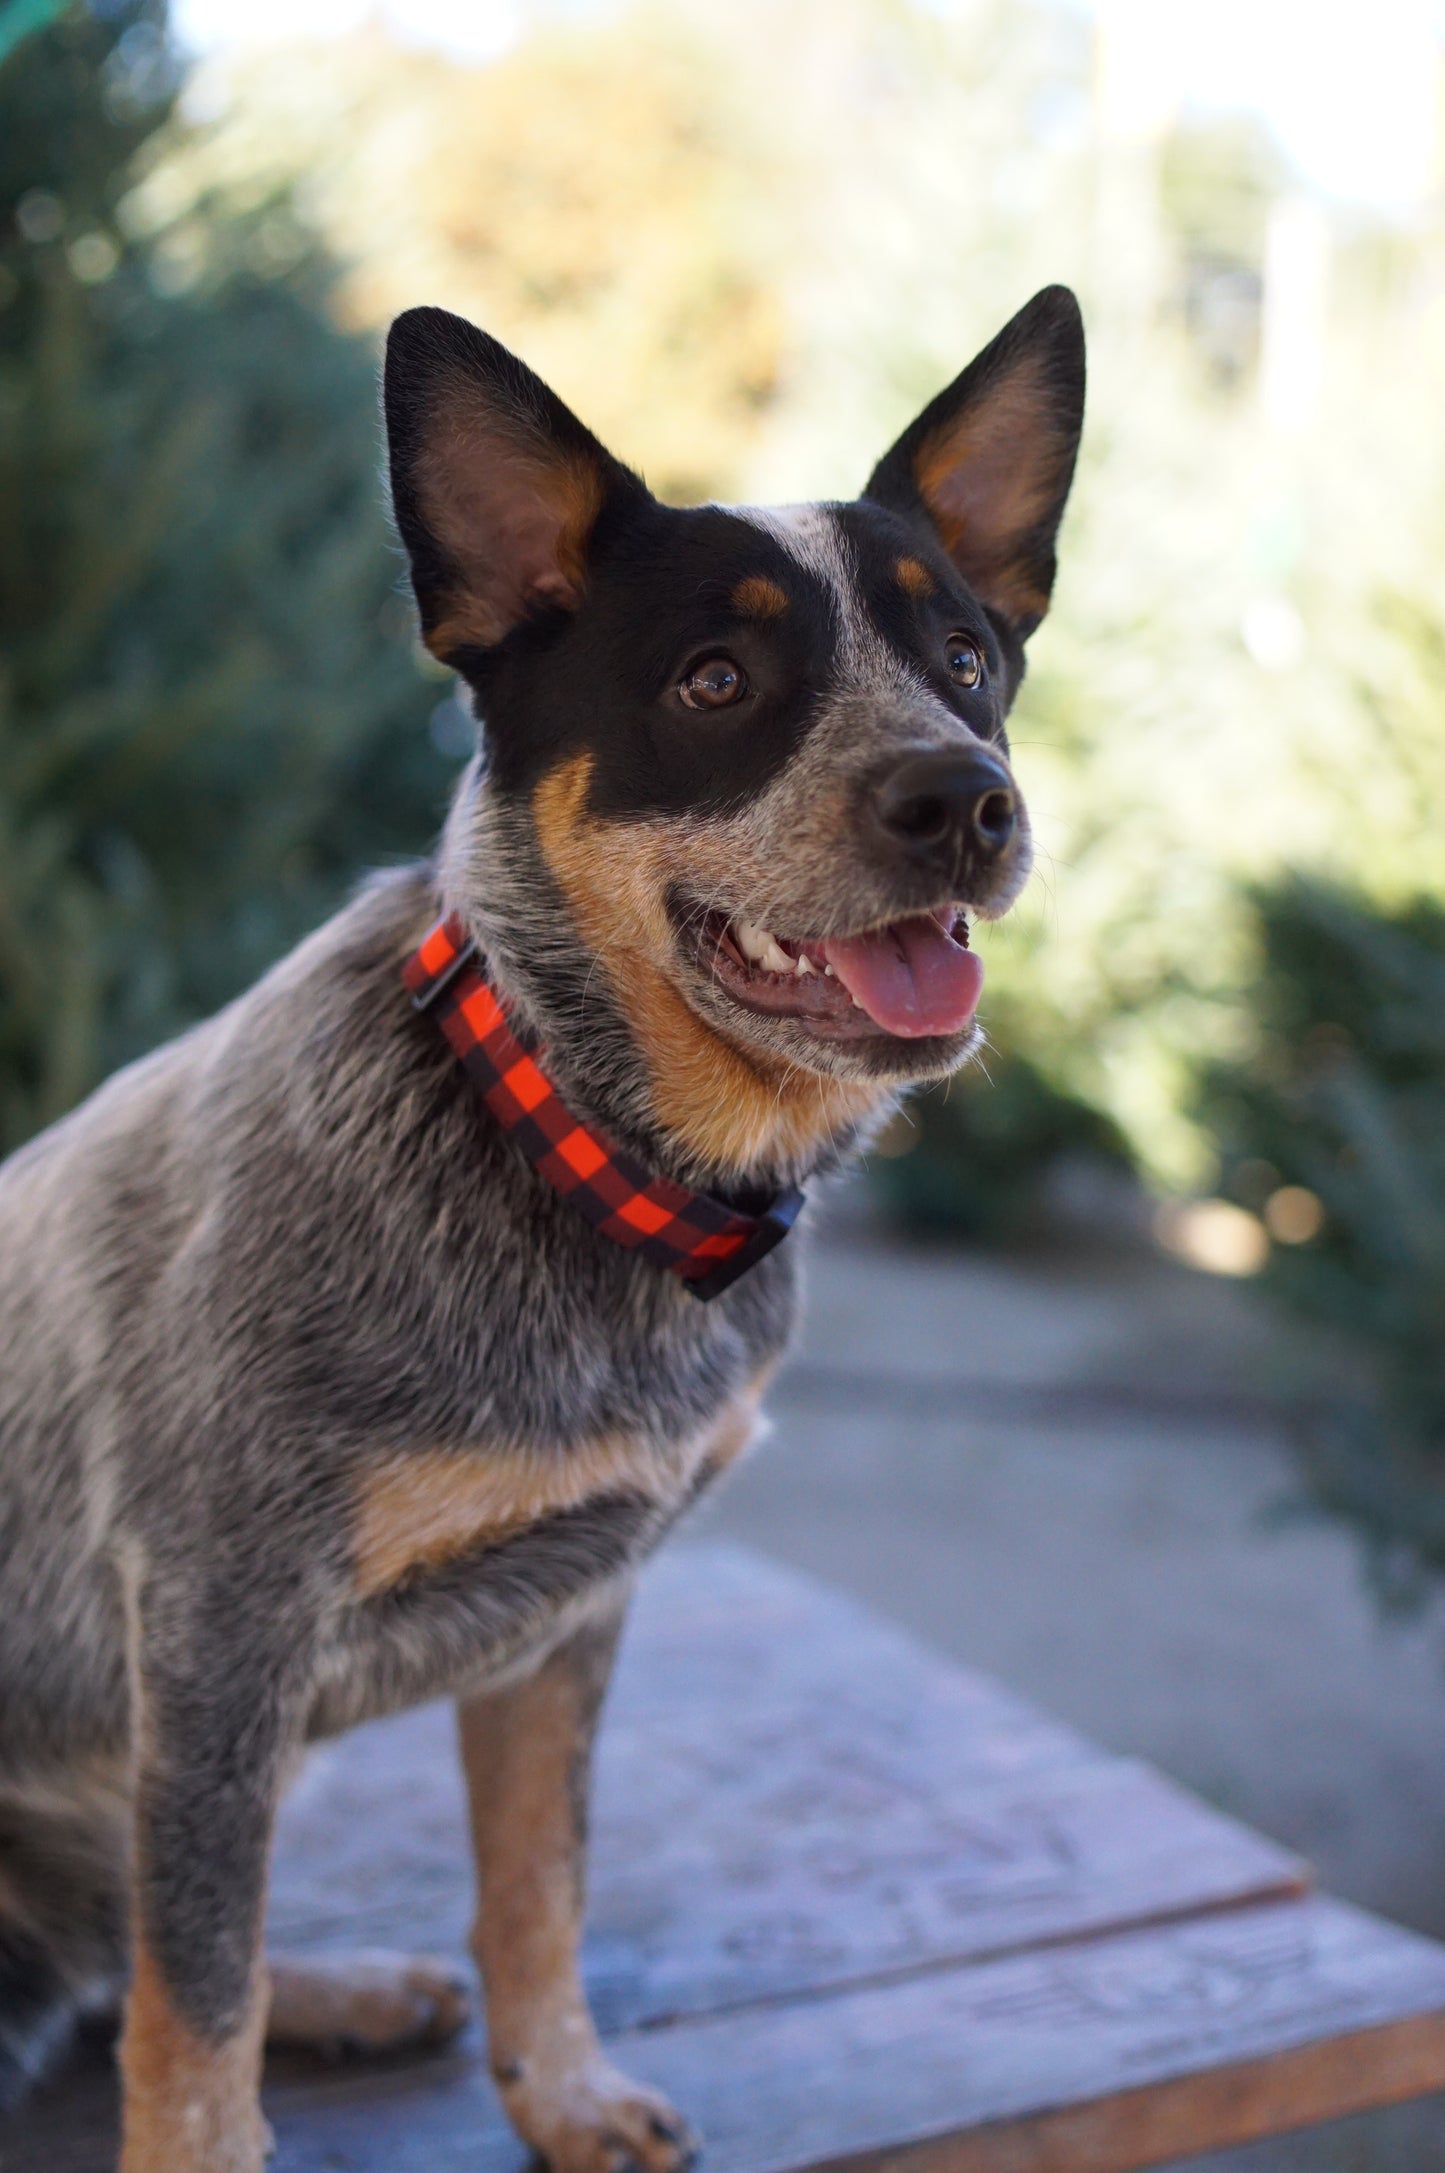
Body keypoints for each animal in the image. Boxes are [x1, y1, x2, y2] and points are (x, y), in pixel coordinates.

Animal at [0, 289, 1077, 2173]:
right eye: (714, 682)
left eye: (963, 659)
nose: (965, 800)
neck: (576, 1158)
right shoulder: (215, 1628)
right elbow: (195, 2008)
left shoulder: (568, 1610)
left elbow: (535, 1887)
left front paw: (561, 2093)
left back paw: (346, 1987)